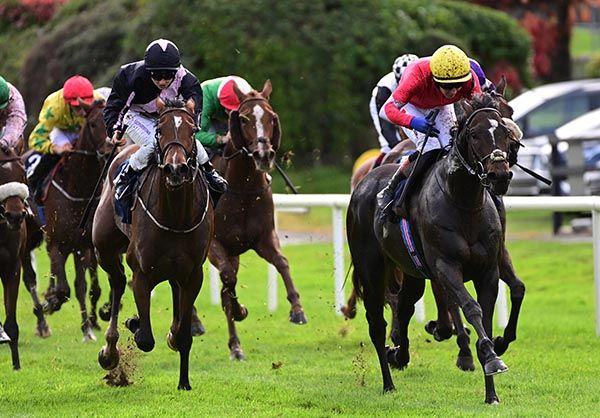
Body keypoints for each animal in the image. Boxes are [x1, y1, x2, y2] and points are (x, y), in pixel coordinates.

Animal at [22, 99, 111, 342]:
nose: (109, 150)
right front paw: (51, 301)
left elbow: (80, 286)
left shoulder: (81, 245)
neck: (78, 188)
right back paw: (42, 321)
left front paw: (87, 329)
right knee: (29, 278)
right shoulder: (57, 244)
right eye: (92, 123)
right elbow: (63, 290)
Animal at [94, 99, 213, 392]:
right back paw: (110, 352)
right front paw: (135, 322)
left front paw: (184, 382)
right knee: (117, 282)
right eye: (160, 131)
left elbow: (183, 336)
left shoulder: (193, 275)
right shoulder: (142, 273)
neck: (176, 215)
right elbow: (145, 339)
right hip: (104, 248)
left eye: (193, 131)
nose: (175, 169)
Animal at [207, 80, 310, 360]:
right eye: (243, 119)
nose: (264, 155)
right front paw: (240, 310)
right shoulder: (214, 245)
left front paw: (297, 310)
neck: (241, 189)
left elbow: (282, 262)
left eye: (271, 117)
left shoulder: (264, 237)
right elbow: (228, 281)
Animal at [346, 105, 516, 404]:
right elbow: (469, 307)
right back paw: (388, 382)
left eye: (506, 134)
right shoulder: (445, 267)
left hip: (411, 271)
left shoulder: (488, 271)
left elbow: (485, 315)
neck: (464, 203)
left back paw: (398, 355)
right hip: (372, 268)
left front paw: (491, 392)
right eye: (474, 134)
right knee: (377, 323)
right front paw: (489, 355)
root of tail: (363, 183)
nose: (500, 175)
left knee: (404, 306)